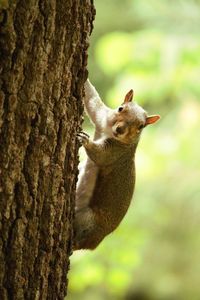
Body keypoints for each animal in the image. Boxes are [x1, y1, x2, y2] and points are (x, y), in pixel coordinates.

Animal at [73, 79, 159, 251]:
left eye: (141, 126)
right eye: (120, 108)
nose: (120, 129)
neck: (109, 132)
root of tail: (95, 242)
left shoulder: (115, 153)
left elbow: (100, 156)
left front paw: (84, 140)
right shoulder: (102, 117)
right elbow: (92, 100)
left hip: (88, 220)